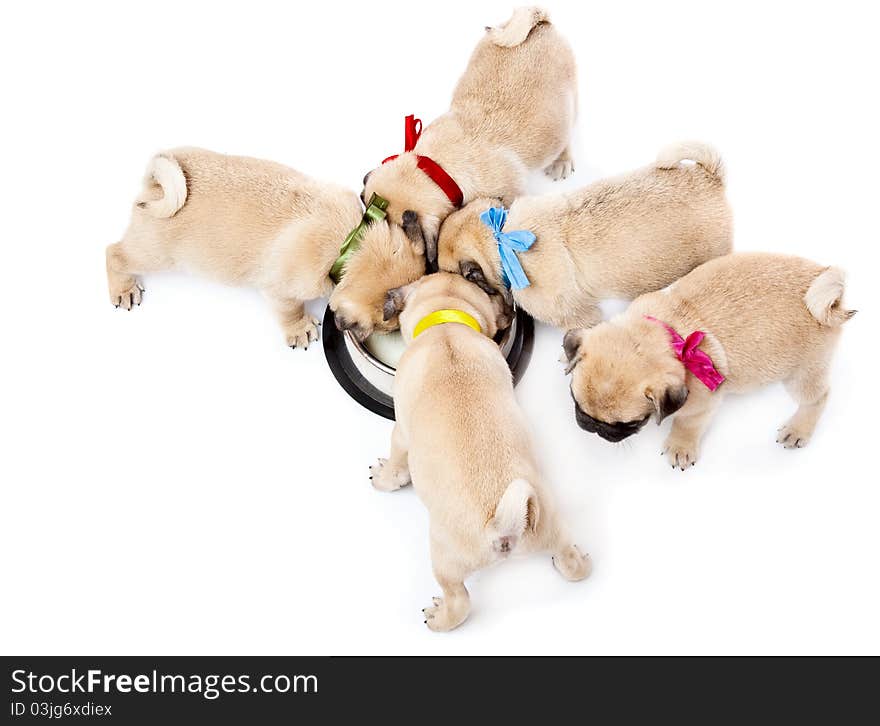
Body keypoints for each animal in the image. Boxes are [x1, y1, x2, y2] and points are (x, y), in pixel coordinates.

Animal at [106, 148, 422, 346]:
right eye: (390, 326)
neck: (350, 243)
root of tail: (155, 185)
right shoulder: (282, 292)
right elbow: (291, 311)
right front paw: (299, 328)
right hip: (154, 253)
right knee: (115, 254)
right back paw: (123, 289)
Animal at [368, 272, 588, 632]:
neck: (446, 325)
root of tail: (503, 529)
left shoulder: (401, 434)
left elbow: (397, 463)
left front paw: (384, 478)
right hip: (551, 529)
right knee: (571, 563)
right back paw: (577, 559)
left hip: (445, 559)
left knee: (460, 601)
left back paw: (439, 617)